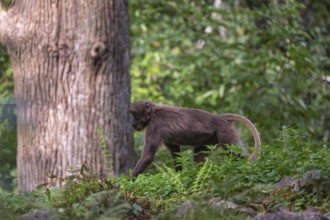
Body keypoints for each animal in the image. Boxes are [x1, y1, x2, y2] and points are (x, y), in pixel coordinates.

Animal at [129, 100, 260, 176]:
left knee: (233, 151)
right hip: (211, 139)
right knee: (198, 156)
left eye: (134, 114)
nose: (132, 123)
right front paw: (179, 175)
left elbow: (147, 157)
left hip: (224, 131)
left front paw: (128, 181)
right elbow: (176, 152)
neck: (153, 113)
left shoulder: (154, 126)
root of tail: (217, 117)